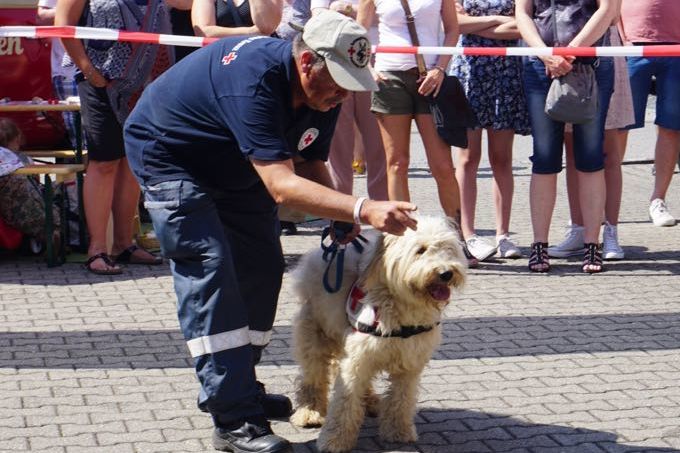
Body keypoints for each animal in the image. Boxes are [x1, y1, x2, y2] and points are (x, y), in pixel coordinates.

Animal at [286, 215, 468, 452]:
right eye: (420, 250)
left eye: (448, 248)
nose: (446, 273)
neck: (400, 307)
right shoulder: (357, 360)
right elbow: (345, 402)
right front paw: (335, 439)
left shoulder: (409, 363)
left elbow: (402, 399)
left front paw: (399, 432)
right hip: (314, 336)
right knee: (313, 376)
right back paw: (310, 411)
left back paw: (370, 401)